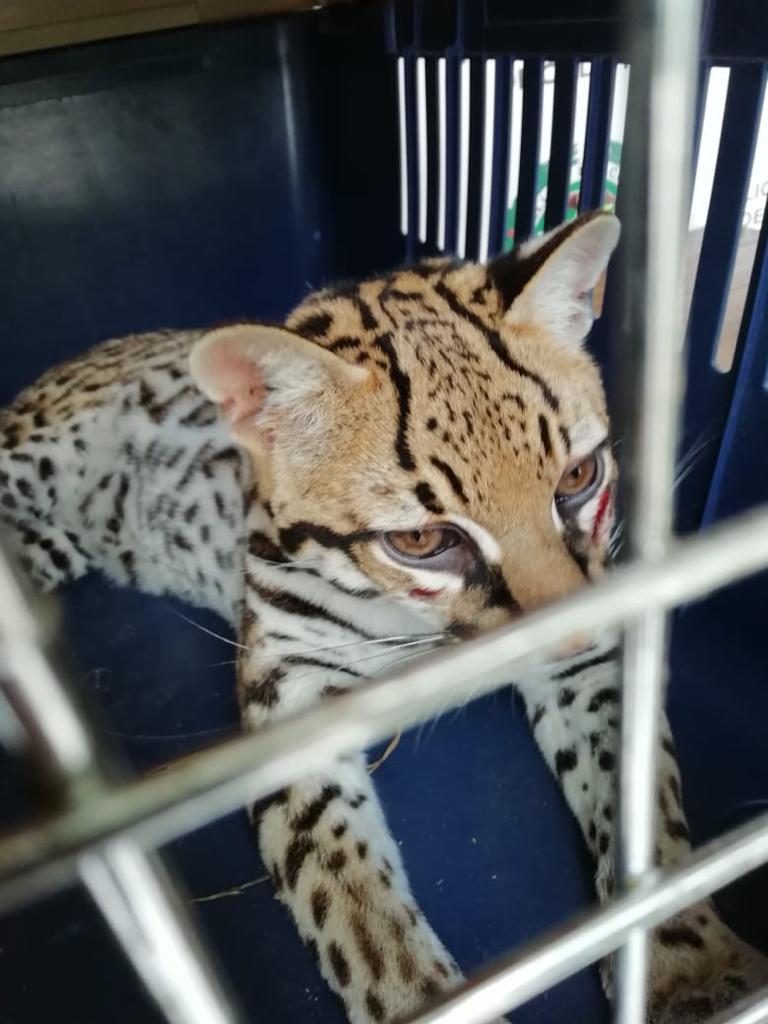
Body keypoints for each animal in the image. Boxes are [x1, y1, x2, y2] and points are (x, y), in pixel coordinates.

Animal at [1, 211, 766, 1024]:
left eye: (579, 478)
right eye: (423, 542)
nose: (574, 634)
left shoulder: (592, 649)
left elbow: (641, 797)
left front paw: (690, 960)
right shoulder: (289, 689)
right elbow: (346, 889)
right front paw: (421, 998)